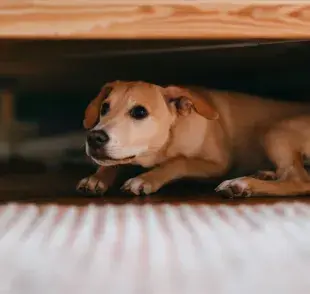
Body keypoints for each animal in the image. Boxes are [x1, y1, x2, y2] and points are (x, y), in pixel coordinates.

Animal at [77, 80, 310, 198]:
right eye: (104, 108)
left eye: (140, 112)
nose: (94, 138)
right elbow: (112, 163)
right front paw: (97, 177)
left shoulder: (218, 164)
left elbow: (179, 162)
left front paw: (145, 179)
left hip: (275, 131)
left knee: (300, 180)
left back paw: (242, 184)